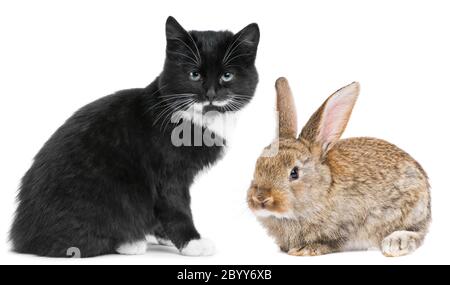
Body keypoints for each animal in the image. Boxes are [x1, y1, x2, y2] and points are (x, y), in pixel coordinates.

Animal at [8, 17, 258, 258]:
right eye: (194, 75)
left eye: (227, 75)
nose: (211, 94)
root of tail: (22, 238)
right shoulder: (167, 173)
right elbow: (176, 206)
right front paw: (191, 243)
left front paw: (165, 236)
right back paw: (129, 242)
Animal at [248, 77, 430, 255]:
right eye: (258, 165)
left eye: (294, 173)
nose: (260, 198)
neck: (322, 191)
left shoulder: (350, 223)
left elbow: (334, 241)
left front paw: (305, 249)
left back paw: (395, 243)